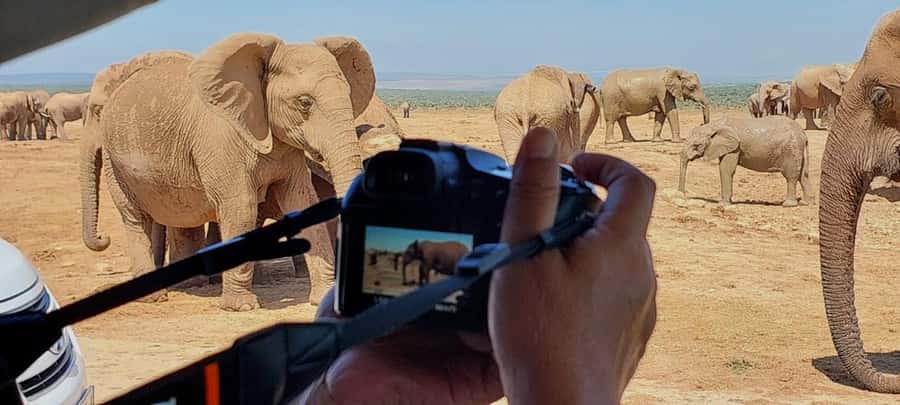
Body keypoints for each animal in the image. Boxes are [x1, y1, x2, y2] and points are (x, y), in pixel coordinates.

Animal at [81, 33, 375, 311]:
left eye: (348, 95)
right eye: (305, 103)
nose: (103, 238)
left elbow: (302, 201)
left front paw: (322, 297)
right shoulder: (220, 138)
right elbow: (241, 208)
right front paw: (241, 306)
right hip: (114, 159)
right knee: (134, 216)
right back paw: (155, 297)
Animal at [679, 116, 812, 207]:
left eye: (696, 146)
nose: (682, 194)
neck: (713, 126)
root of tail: (803, 134)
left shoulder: (735, 147)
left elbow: (725, 169)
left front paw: (722, 204)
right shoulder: (727, 147)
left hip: (791, 150)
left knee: (791, 176)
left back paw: (788, 204)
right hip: (797, 150)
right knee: (803, 175)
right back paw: (806, 202)